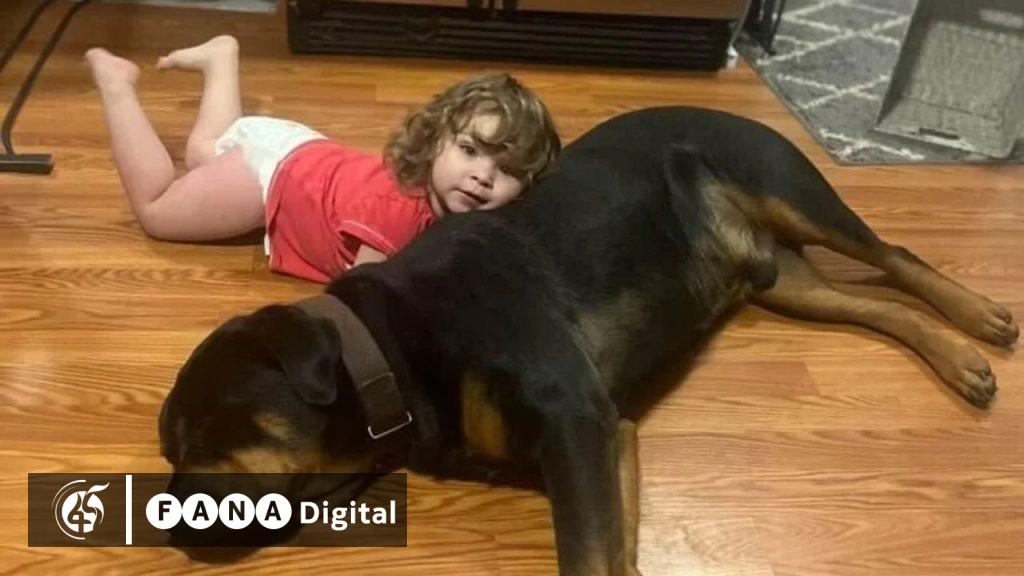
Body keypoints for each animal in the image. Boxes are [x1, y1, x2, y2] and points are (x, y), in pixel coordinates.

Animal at [160, 107, 1018, 574]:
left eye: (207, 426)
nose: (164, 522)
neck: (389, 352)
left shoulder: (573, 421)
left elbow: (586, 555)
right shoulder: (603, 436)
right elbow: (614, 550)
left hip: (787, 187)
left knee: (894, 257)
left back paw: (980, 320)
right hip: (782, 281)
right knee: (869, 302)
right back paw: (959, 360)